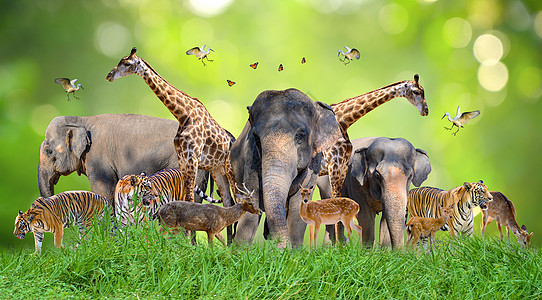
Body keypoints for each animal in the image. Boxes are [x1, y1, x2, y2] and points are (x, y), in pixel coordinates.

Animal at [108, 48, 238, 210]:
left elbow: (190, 199)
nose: (109, 75)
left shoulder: (192, 159)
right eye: (120, 61)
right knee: (228, 200)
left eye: (127, 63)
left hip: (229, 168)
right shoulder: (182, 159)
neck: (183, 115)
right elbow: (185, 198)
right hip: (218, 170)